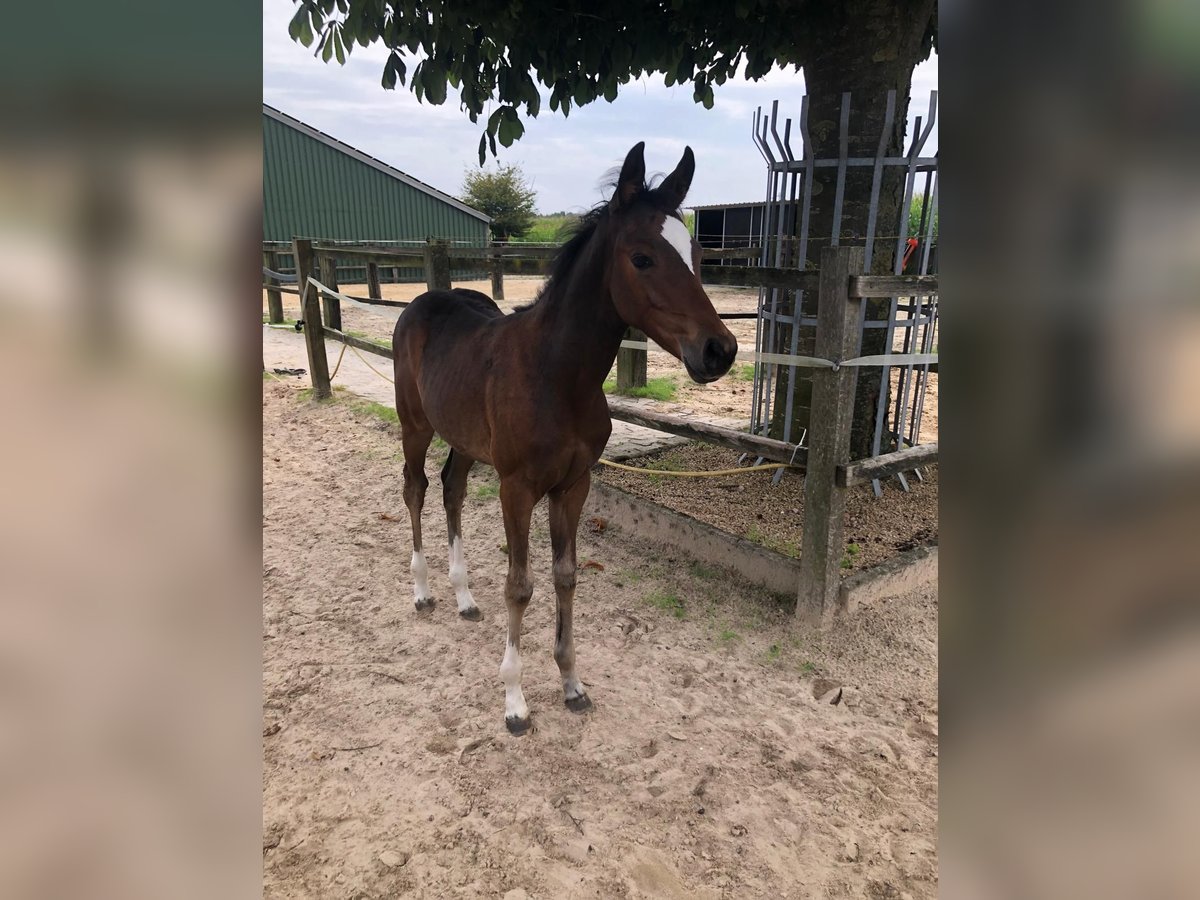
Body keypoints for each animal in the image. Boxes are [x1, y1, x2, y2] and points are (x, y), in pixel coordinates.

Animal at [393, 141, 734, 734]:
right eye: (641, 257)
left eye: (695, 253)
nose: (720, 350)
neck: (556, 375)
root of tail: (419, 303)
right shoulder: (516, 488)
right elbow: (520, 585)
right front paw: (514, 702)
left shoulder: (573, 486)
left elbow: (566, 577)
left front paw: (572, 684)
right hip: (416, 427)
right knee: (415, 490)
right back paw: (424, 591)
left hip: (463, 440)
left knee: (451, 489)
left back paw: (464, 598)